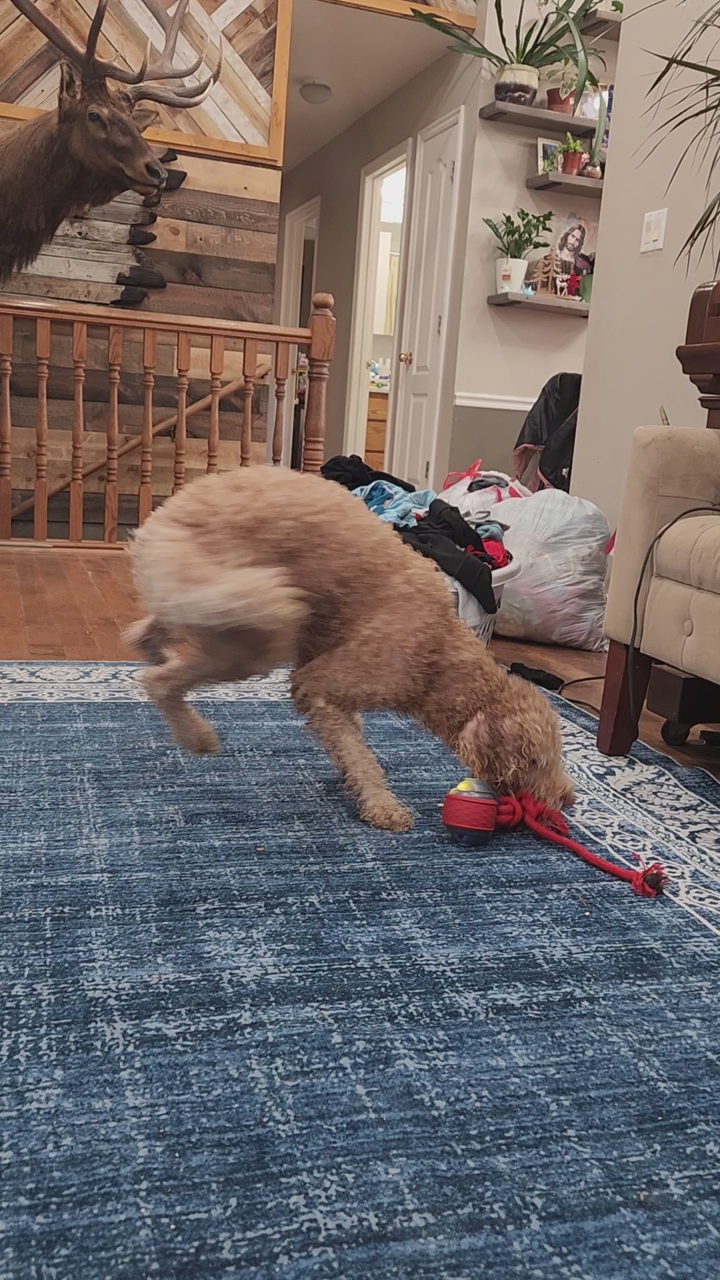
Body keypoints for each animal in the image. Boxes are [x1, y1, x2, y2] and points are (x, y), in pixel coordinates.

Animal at [127, 467, 574, 831]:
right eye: (536, 760)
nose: (568, 799)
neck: (439, 654)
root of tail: (164, 516)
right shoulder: (322, 685)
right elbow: (362, 756)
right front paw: (382, 806)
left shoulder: (322, 685)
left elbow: (347, 739)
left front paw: (348, 776)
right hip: (255, 625)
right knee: (158, 682)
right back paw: (196, 736)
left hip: (207, 603)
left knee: (144, 635)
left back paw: (155, 651)